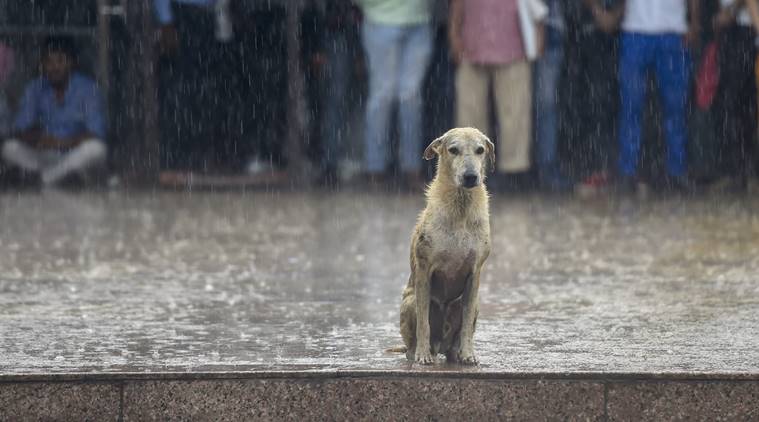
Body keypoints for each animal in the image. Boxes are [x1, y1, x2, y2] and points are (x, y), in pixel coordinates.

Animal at [398, 127, 492, 364]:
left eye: (480, 150)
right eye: (453, 150)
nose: (470, 176)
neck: (461, 207)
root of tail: (440, 345)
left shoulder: (474, 275)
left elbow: (467, 325)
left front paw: (468, 355)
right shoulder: (424, 271)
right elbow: (424, 322)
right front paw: (423, 356)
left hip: (473, 305)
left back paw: (456, 354)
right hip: (409, 302)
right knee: (414, 339)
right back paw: (420, 353)